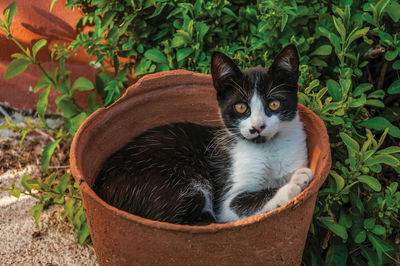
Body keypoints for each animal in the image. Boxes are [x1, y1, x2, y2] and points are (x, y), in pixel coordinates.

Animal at [94, 43, 312, 224]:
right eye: (241, 107)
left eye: (274, 104)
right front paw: (294, 184)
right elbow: (243, 202)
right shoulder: (225, 201)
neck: (268, 148)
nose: (257, 127)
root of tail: (102, 189)